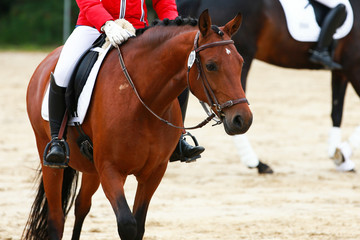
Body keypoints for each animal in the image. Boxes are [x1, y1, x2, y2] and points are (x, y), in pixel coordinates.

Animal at [23, 9, 253, 240]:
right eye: (211, 65)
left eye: (241, 62)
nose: (242, 119)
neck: (141, 102)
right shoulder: (110, 170)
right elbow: (127, 225)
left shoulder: (153, 172)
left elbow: (139, 226)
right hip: (50, 159)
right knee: (56, 218)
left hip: (91, 169)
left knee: (82, 206)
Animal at [178, 0, 360, 172]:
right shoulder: (353, 67)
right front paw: (343, 154)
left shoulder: (342, 70)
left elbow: (336, 113)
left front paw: (340, 158)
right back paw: (256, 162)